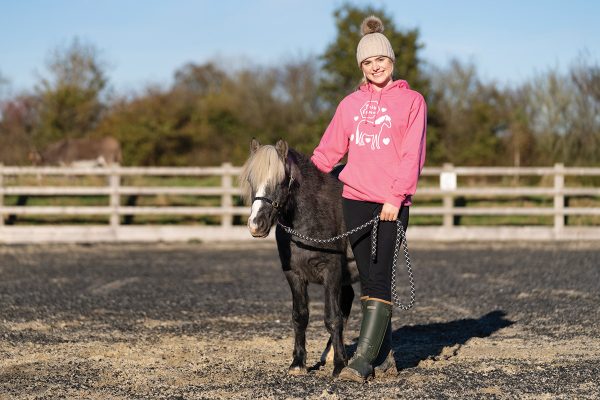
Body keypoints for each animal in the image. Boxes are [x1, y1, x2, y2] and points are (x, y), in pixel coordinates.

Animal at [240, 139, 360, 376]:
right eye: (251, 180)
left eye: (280, 181)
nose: (256, 225)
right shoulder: (294, 275)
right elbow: (300, 316)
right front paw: (298, 363)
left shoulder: (331, 272)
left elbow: (332, 317)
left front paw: (340, 365)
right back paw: (328, 354)